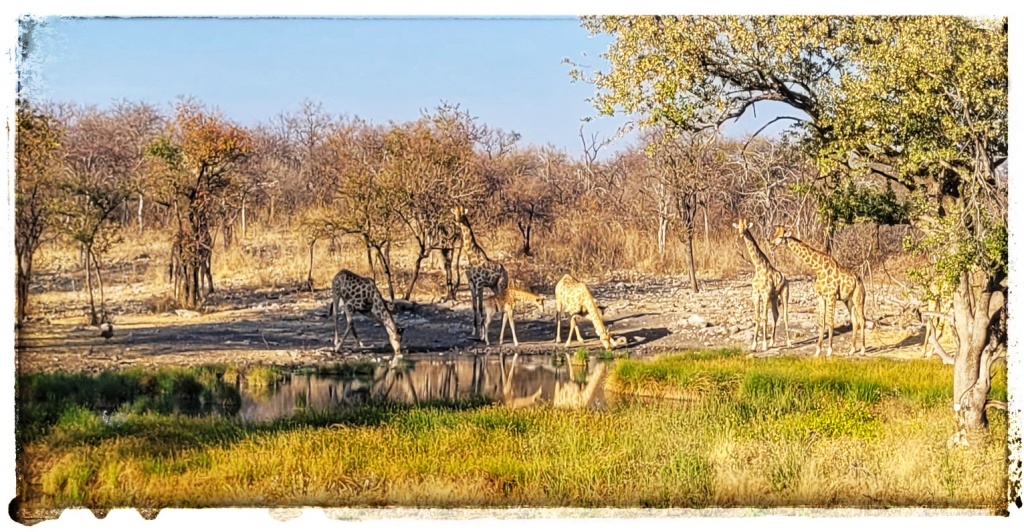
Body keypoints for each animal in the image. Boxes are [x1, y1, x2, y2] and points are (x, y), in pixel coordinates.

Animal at [452, 204, 507, 341]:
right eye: (454, 212)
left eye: (462, 213)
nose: (457, 220)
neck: (472, 257)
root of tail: (505, 272)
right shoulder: (471, 284)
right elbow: (474, 306)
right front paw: (474, 331)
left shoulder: (480, 284)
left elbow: (481, 307)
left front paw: (482, 334)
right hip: (494, 287)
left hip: (501, 285)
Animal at [733, 217, 794, 351]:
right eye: (738, 226)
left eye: (746, 227)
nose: (741, 234)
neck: (759, 267)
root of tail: (786, 279)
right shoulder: (756, 294)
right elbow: (757, 317)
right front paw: (754, 345)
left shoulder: (765, 294)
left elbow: (764, 317)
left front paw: (764, 345)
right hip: (773, 297)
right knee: (776, 315)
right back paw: (772, 342)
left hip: (784, 293)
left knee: (785, 316)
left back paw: (789, 343)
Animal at [770, 225, 864, 358]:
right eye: (774, 233)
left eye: (780, 236)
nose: (770, 243)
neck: (818, 268)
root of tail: (860, 281)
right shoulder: (820, 296)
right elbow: (821, 322)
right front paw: (818, 351)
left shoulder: (831, 295)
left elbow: (830, 322)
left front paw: (829, 351)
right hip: (848, 300)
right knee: (855, 321)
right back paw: (851, 350)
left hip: (858, 298)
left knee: (862, 320)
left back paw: (863, 350)